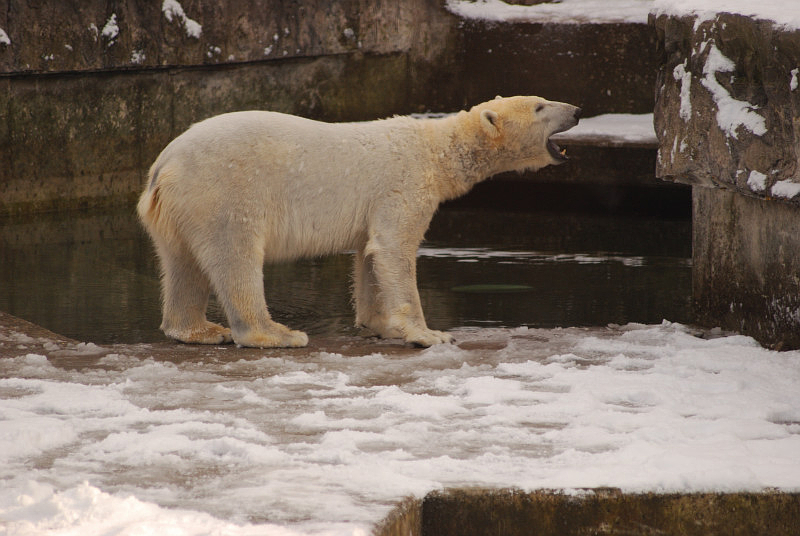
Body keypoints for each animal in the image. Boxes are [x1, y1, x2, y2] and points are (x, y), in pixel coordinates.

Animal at [137, 96, 581, 348]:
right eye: (540, 106)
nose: (577, 110)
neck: (436, 149)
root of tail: (164, 165)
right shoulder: (403, 184)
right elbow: (395, 249)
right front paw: (430, 334)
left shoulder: (377, 205)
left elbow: (370, 256)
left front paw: (380, 324)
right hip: (225, 191)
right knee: (236, 257)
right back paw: (277, 334)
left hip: (179, 210)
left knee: (182, 264)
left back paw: (199, 329)